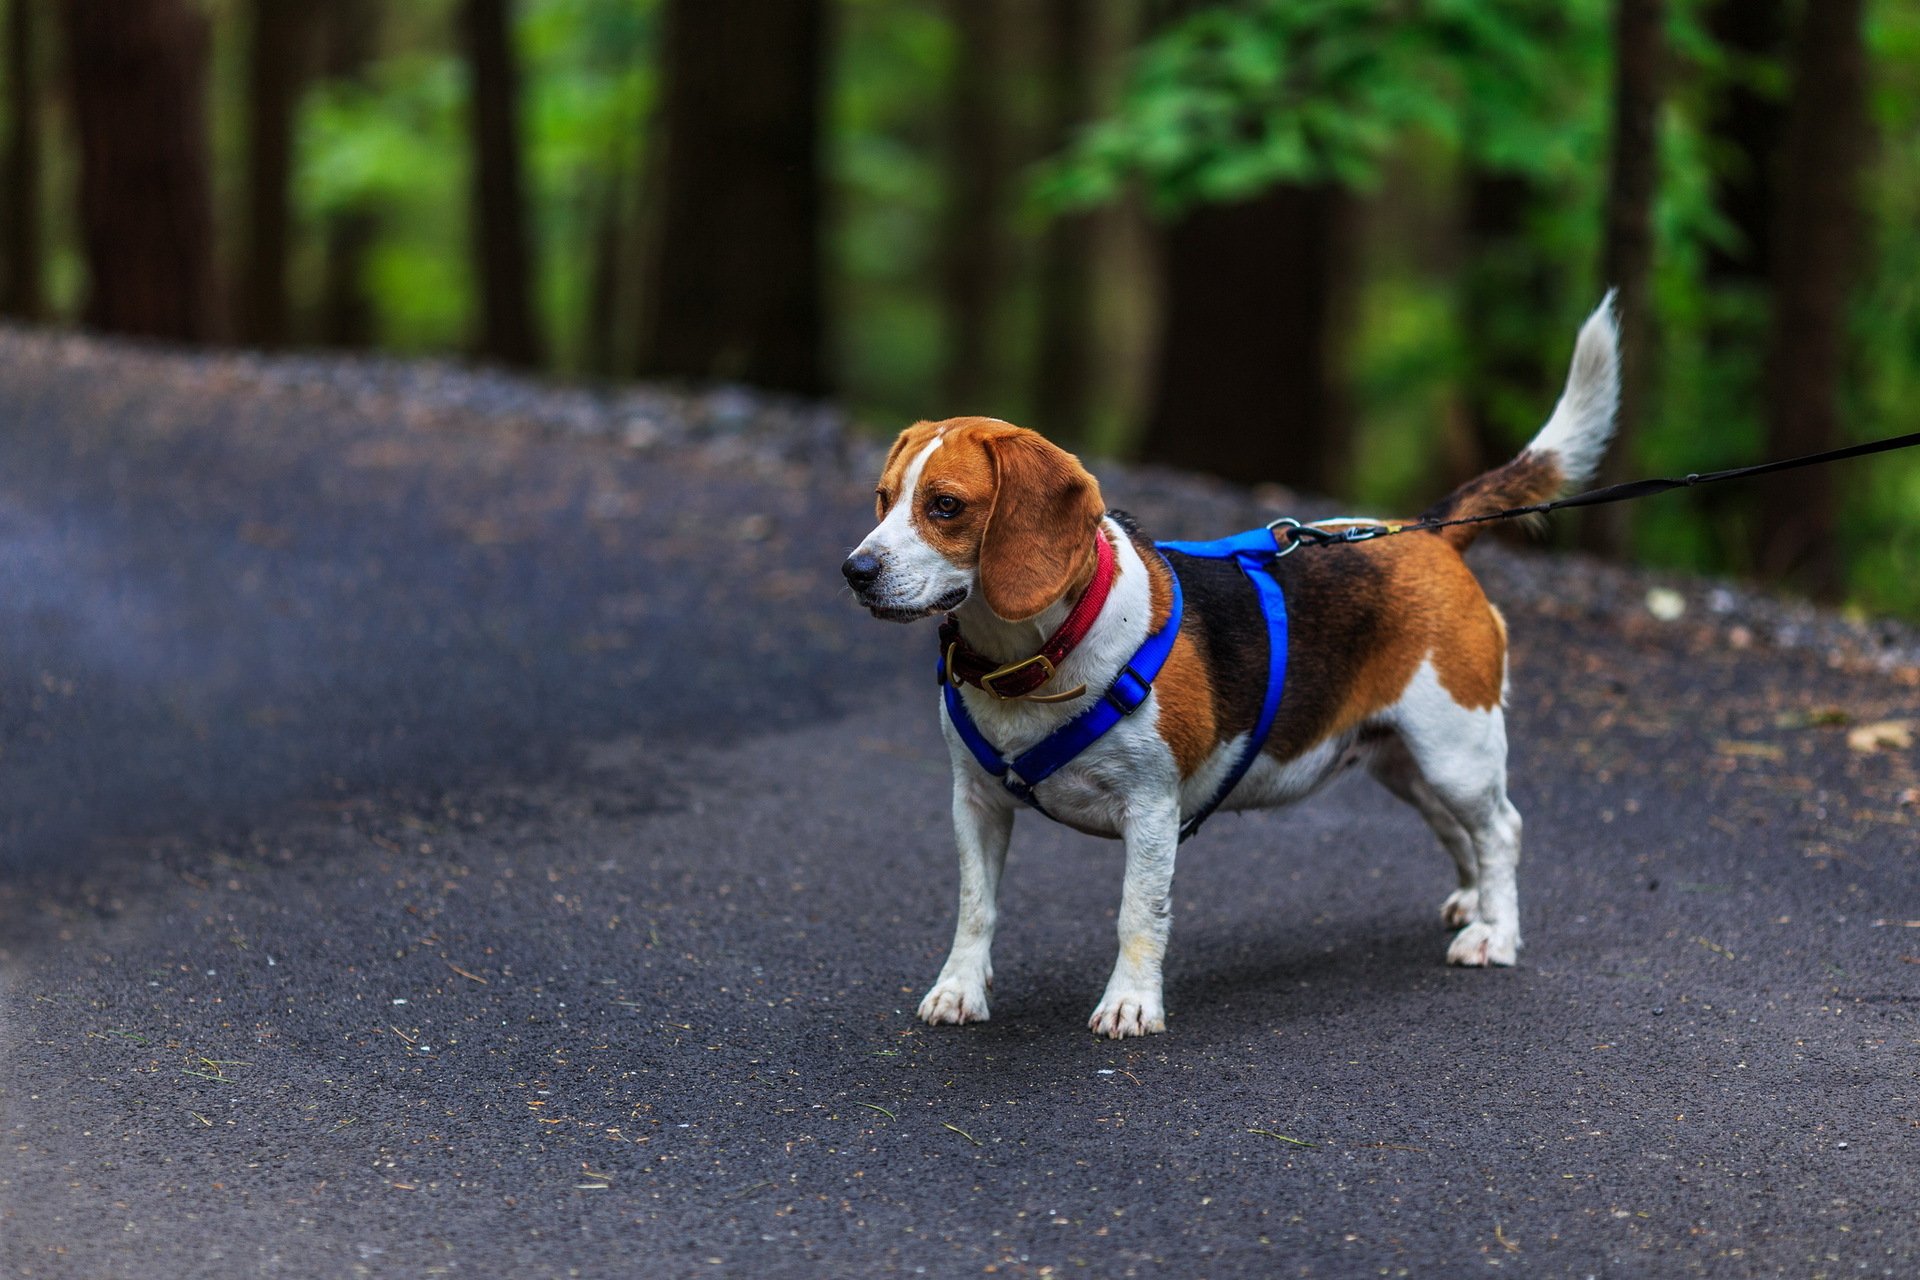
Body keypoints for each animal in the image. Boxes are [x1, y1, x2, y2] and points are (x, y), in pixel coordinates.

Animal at [848, 303, 1612, 1043]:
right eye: (883, 499)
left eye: (946, 505)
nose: (856, 571)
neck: (1038, 656)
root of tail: (1425, 534)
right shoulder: (975, 801)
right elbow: (975, 907)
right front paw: (959, 990)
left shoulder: (1151, 809)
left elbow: (1137, 914)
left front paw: (1131, 1005)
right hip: (1403, 760)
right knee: (1462, 831)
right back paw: (1474, 902)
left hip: (1456, 751)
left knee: (1501, 830)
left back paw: (1495, 933)